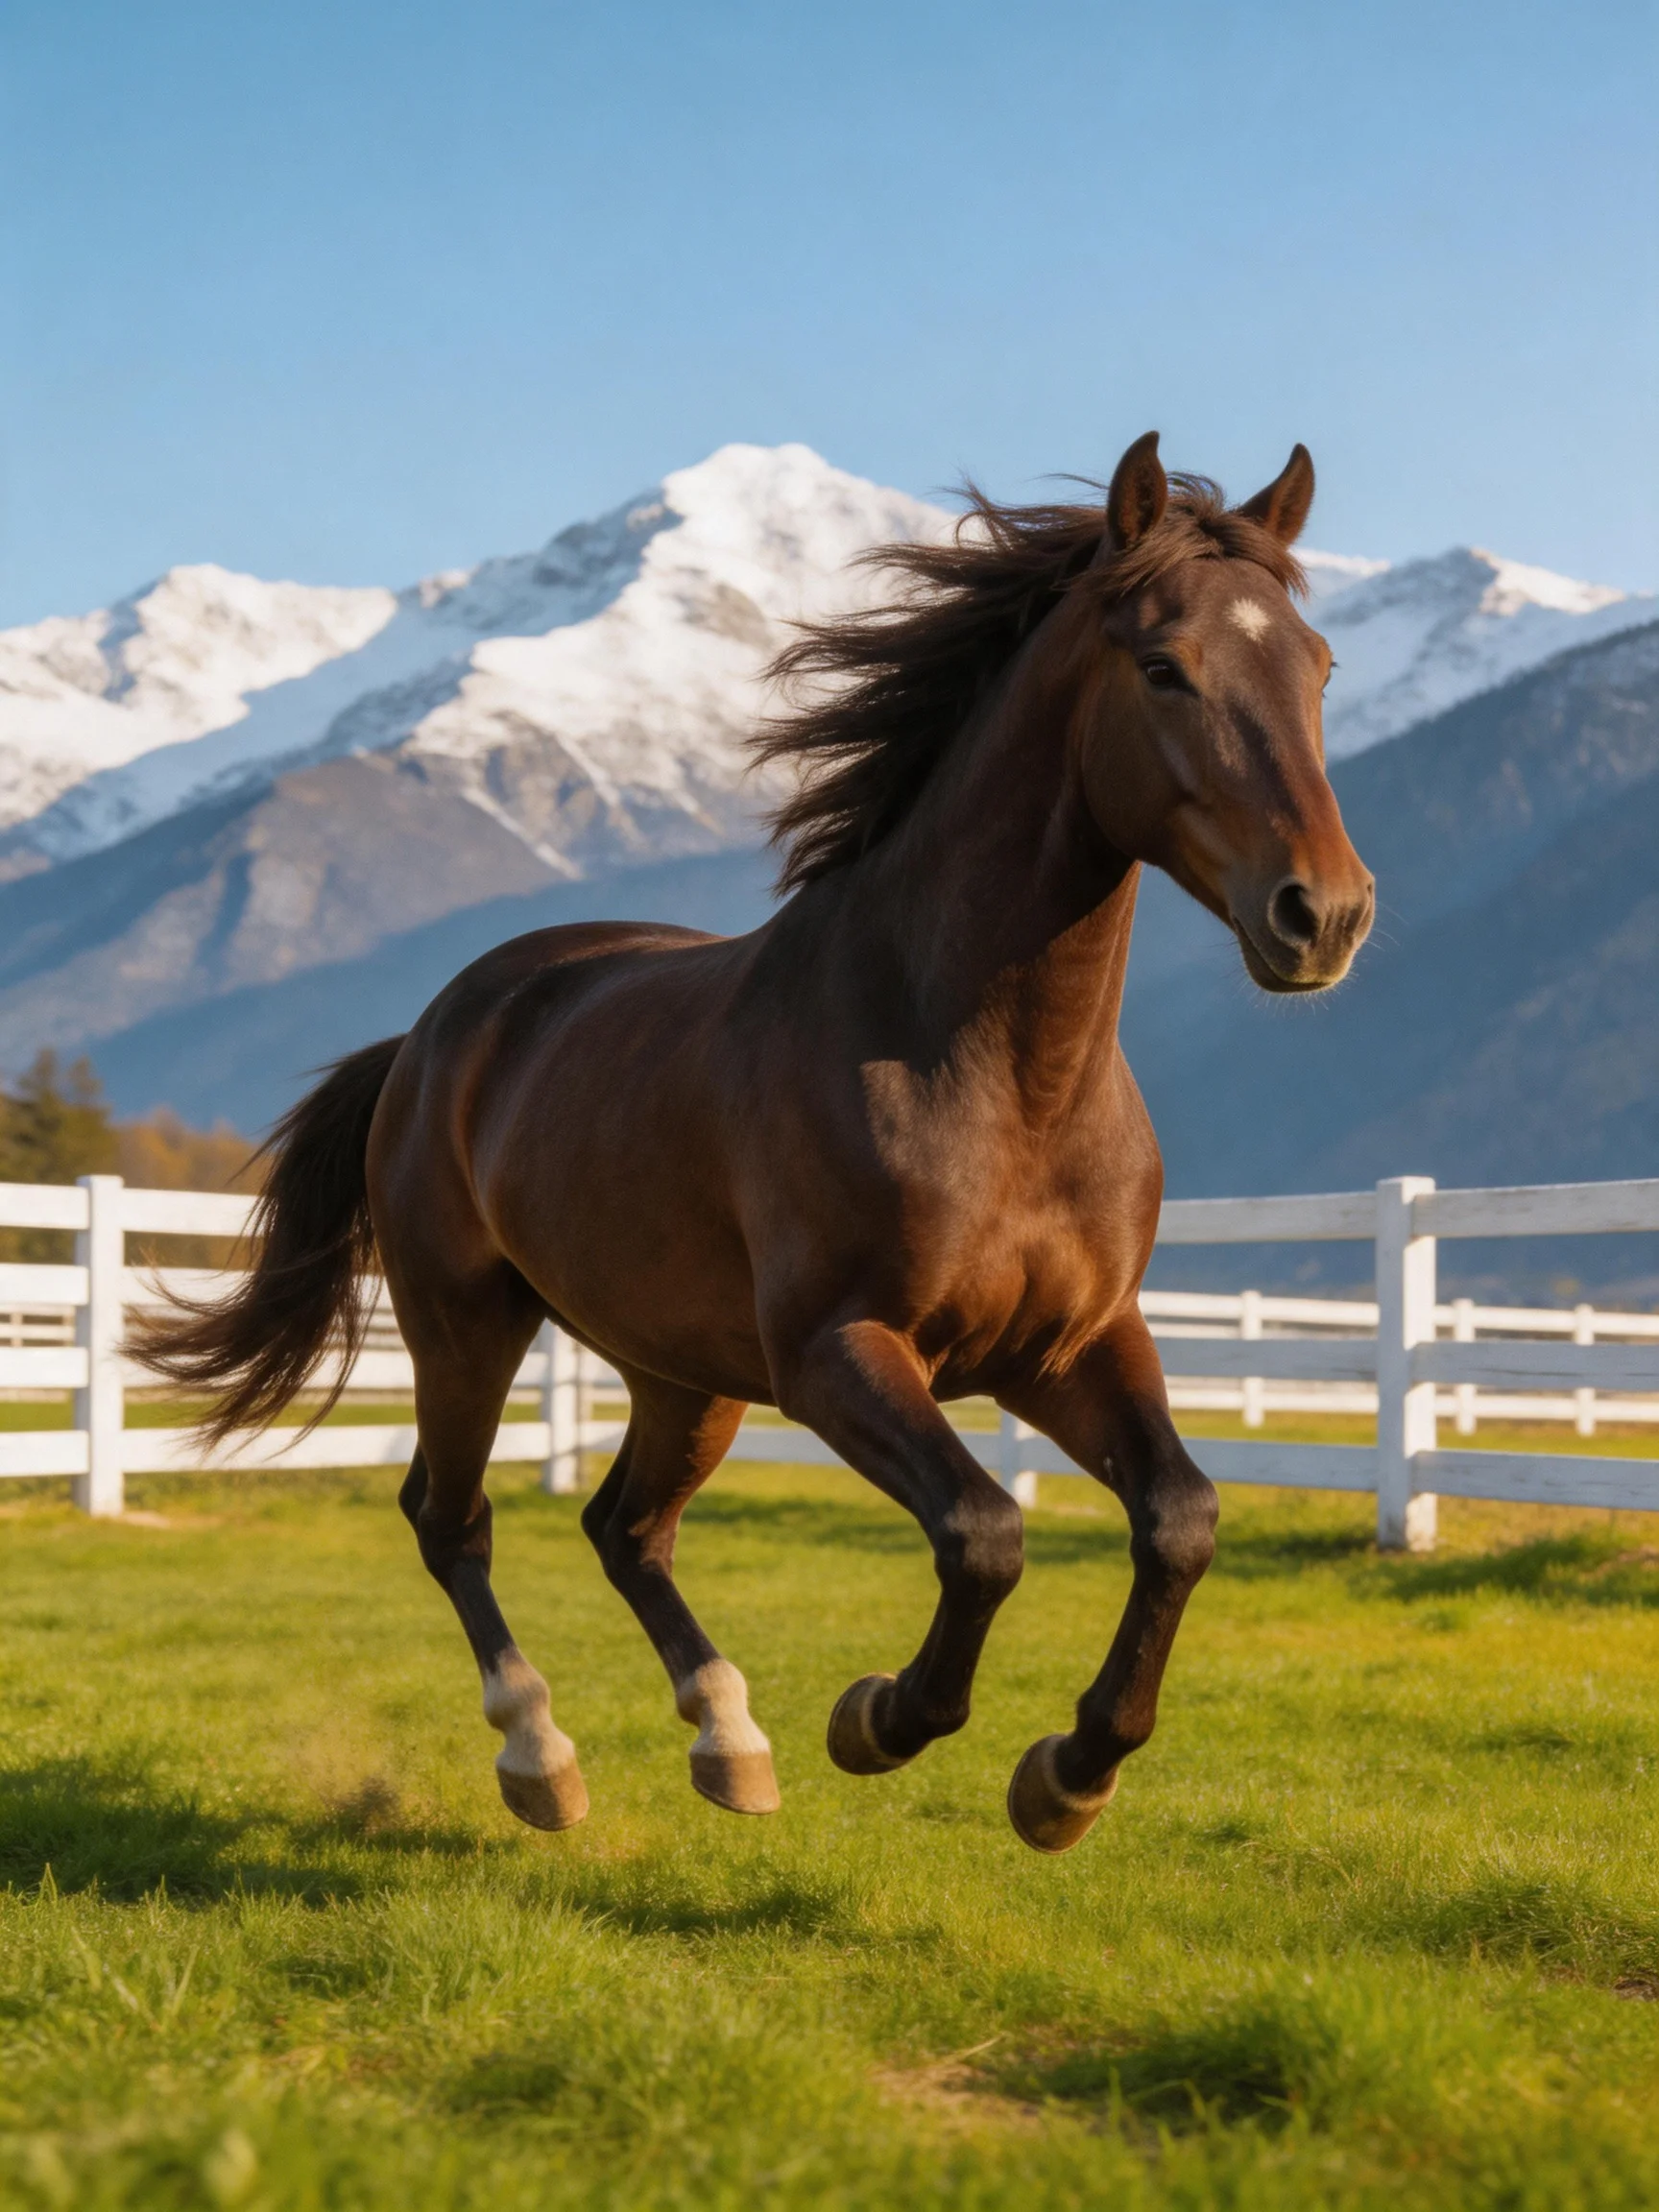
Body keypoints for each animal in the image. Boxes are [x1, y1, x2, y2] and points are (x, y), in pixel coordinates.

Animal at [137, 432, 1372, 1855]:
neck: (990, 1077)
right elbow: (984, 1531)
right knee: (452, 1521)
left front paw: (1070, 1776)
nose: (1323, 915)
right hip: (466, 1323)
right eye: (1164, 664)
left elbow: (1180, 1519)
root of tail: (435, 1032)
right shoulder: (840, 1352)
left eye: (1318, 665)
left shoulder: (1070, 1347)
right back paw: (543, 1759)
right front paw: (880, 1719)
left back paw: (729, 1741)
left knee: (625, 1529)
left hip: (683, 1369)